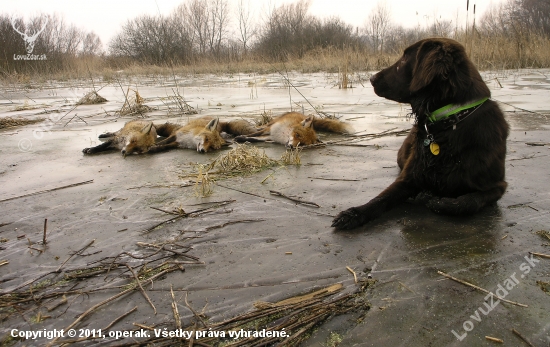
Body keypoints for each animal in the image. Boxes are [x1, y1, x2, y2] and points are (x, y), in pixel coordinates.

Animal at [330, 37, 512, 231]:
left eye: (404, 59)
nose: (372, 78)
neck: (449, 123)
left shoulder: (497, 185)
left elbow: (469, 200)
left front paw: (440, 202)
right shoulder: (408, 178)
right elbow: (380, 199)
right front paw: (352, 214)